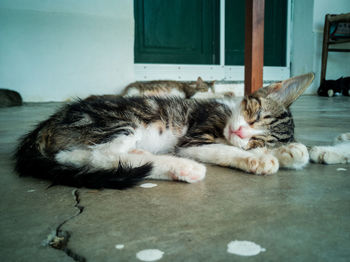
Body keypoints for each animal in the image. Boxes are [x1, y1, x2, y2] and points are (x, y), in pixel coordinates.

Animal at [14, 72, 314, 189]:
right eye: (255, 114)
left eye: (258, 140)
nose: (241, 134)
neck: (226, 115)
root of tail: (51, 120)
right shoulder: (193, 139)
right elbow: (223, 149)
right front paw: (259, 160)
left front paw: (290, 151)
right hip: (120, 122)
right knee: (95, 156)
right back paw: (181, 166)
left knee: (83, 156)